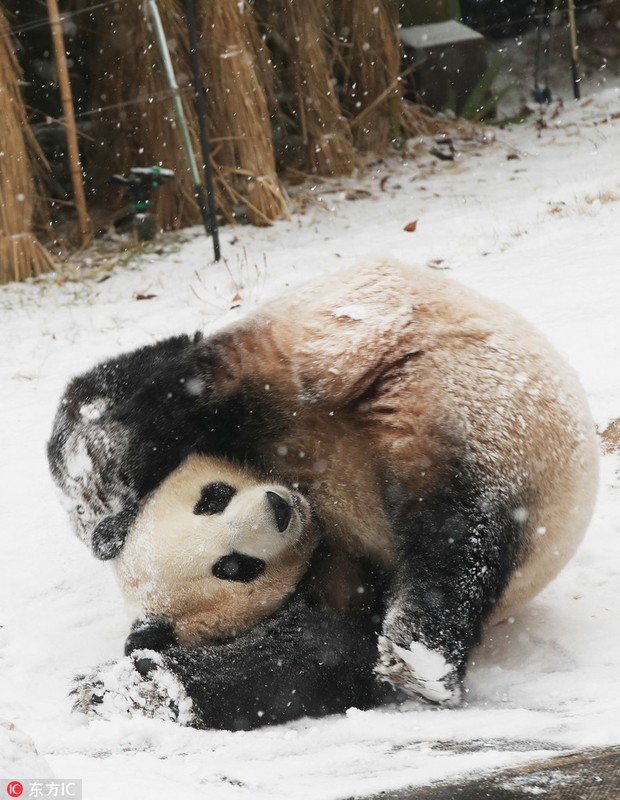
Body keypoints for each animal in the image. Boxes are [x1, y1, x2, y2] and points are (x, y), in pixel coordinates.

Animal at [49, 262, 600, 732]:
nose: (277, 510)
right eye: (232, 566)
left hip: (477, 404)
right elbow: (317, 658)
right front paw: (123, 689)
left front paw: (113, 688)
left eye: (213, 497)